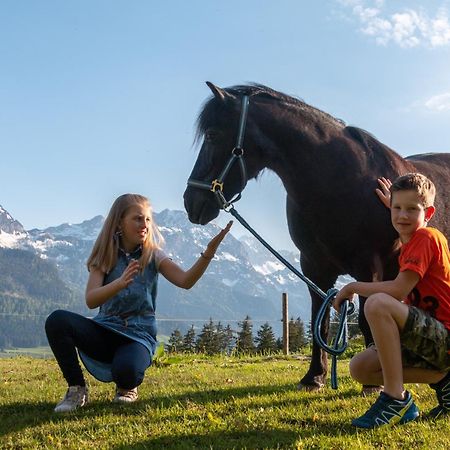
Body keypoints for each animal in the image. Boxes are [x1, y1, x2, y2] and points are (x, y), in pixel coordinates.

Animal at [183, 81, 450, 390]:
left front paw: (374, 382)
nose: (191, 202)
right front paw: (314, 376)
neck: (339, 183)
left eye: (213, 135)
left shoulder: (369, 267)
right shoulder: (313, 266)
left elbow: (367, 316)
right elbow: (317, 321)